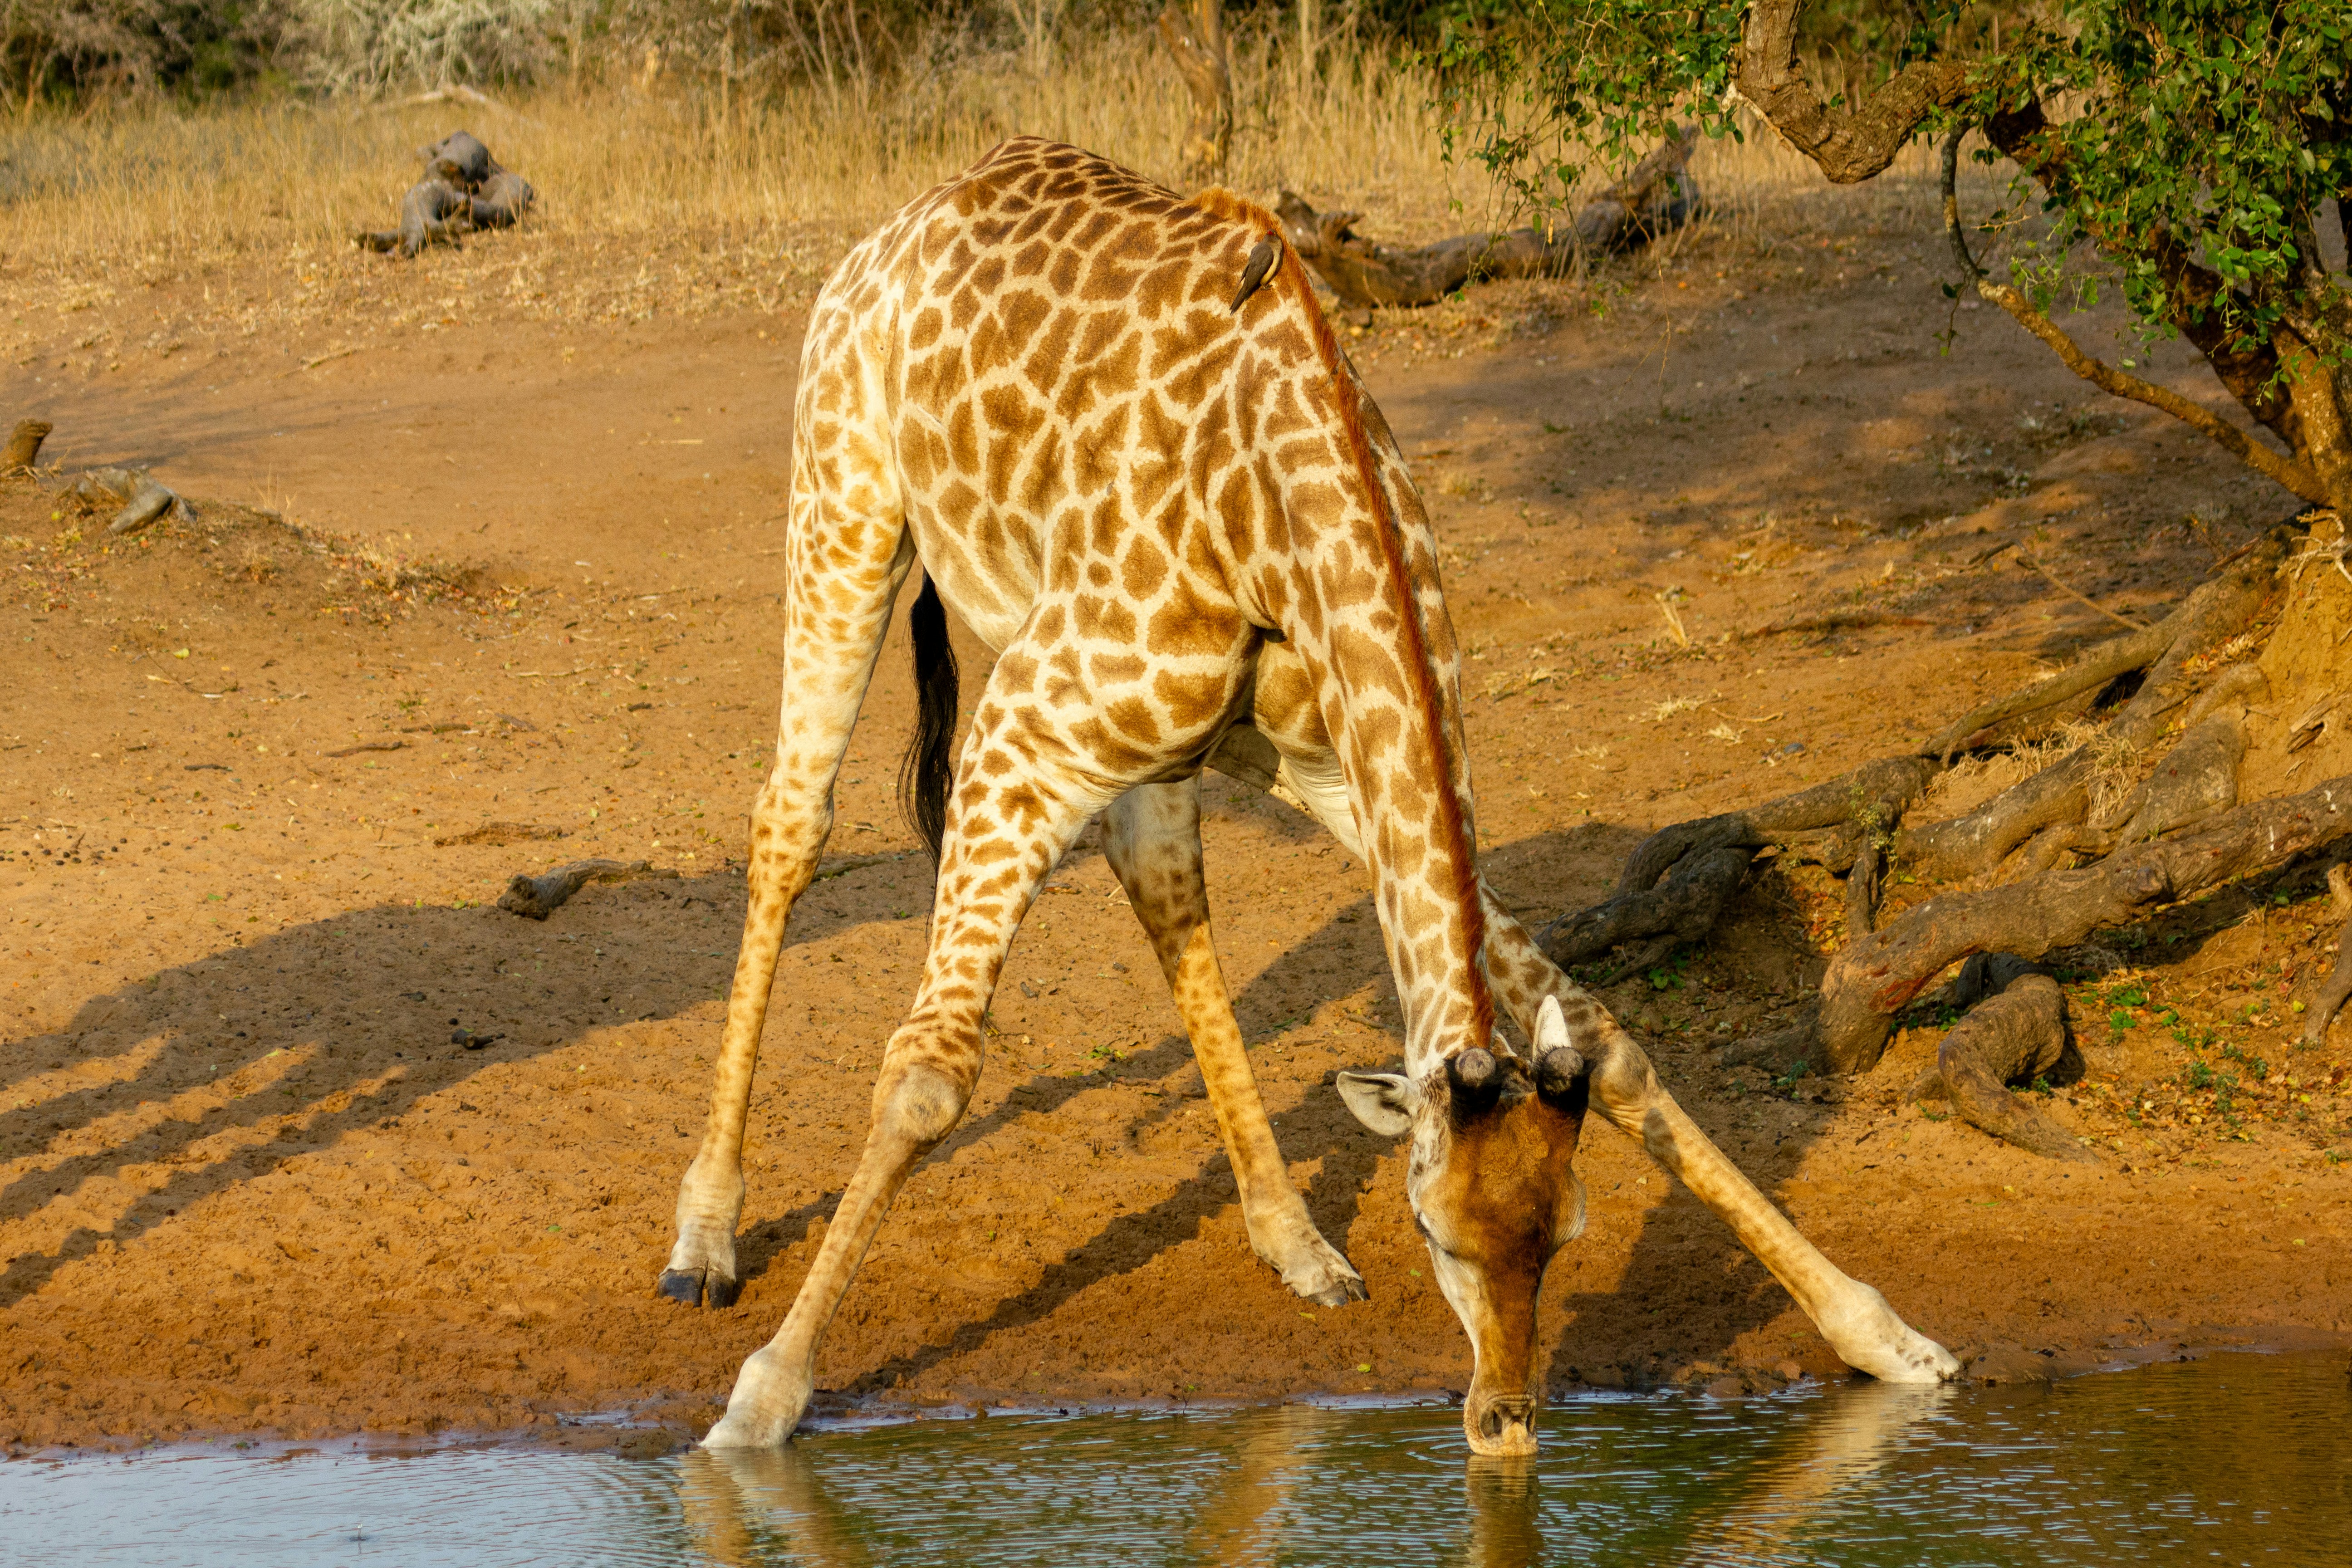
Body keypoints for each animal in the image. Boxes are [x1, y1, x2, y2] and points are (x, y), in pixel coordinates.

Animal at [662, 136, 1959, 1457]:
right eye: (1435, 1231)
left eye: (1567, 1234)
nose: (1505, 1418)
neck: (1295, 499)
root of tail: (913, 216)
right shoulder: (1017, 739)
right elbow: (928, 1077)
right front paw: (762, 1399)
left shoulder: (1339, 764)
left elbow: (1612, 1041)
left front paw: (1884, 1337)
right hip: (845, 505)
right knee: (792, 823)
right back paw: (705, 1237)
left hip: (1183, 738)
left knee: (1162, 883)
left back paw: (1293, 1239)